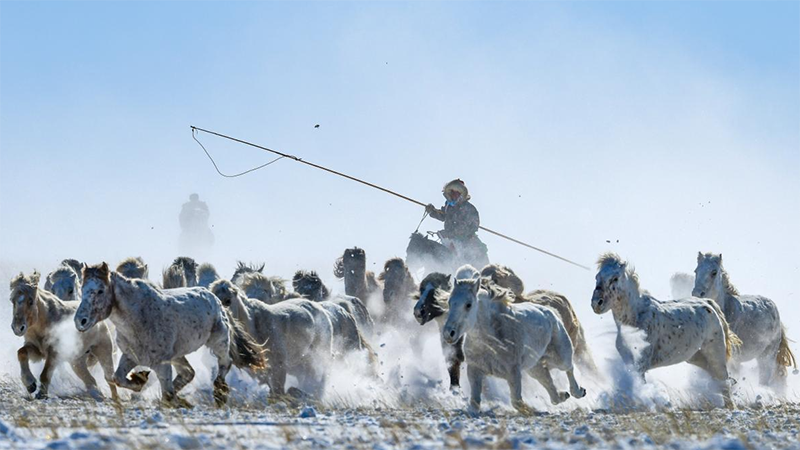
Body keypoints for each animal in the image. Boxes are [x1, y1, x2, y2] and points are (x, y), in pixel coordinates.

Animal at [11, 271, 117, 401]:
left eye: (30, 301)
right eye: (12, 300)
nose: (17, 328)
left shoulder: (54, 352)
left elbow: (45, 374)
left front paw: (41, 394)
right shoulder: (36, 350)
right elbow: (21, 353)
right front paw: (30, 384)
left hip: (103, 351)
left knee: (109, 378)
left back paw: (114, 399)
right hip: (77, 361)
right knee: (90, 380)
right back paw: (97, 395)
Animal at [75, 263, 266, 407]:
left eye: (100, 290)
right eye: (82, 289)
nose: (80, 321)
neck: (138, 316)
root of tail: (216, 299)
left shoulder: (162, 363)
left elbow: (166, 393)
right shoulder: (130, 356)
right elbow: (118, 378)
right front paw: (140, 379)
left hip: (218, 341)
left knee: (225, 362)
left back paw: (220, 393)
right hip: (177, 355)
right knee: (188, 373)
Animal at [442, 265, 586, 414]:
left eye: (468, 304)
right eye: (449, 302)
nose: (449, 333)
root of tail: (550, 311)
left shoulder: (513, 373)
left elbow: (517, 402)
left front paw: (531, 410)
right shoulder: (474, 370)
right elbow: (475, 402)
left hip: (560, 356)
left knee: (569, 368)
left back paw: (578, 391)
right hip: (535, 367)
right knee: (549, 386)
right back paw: (563, 395)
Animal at [592, 253, 741, 408]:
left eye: (615, 278)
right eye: (597, 277)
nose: (597, 303)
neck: (635, 317)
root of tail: (710, 304)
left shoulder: (641, 363)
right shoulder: (628, 360)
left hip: (715, 354)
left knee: (723, 381)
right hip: (697, 357)